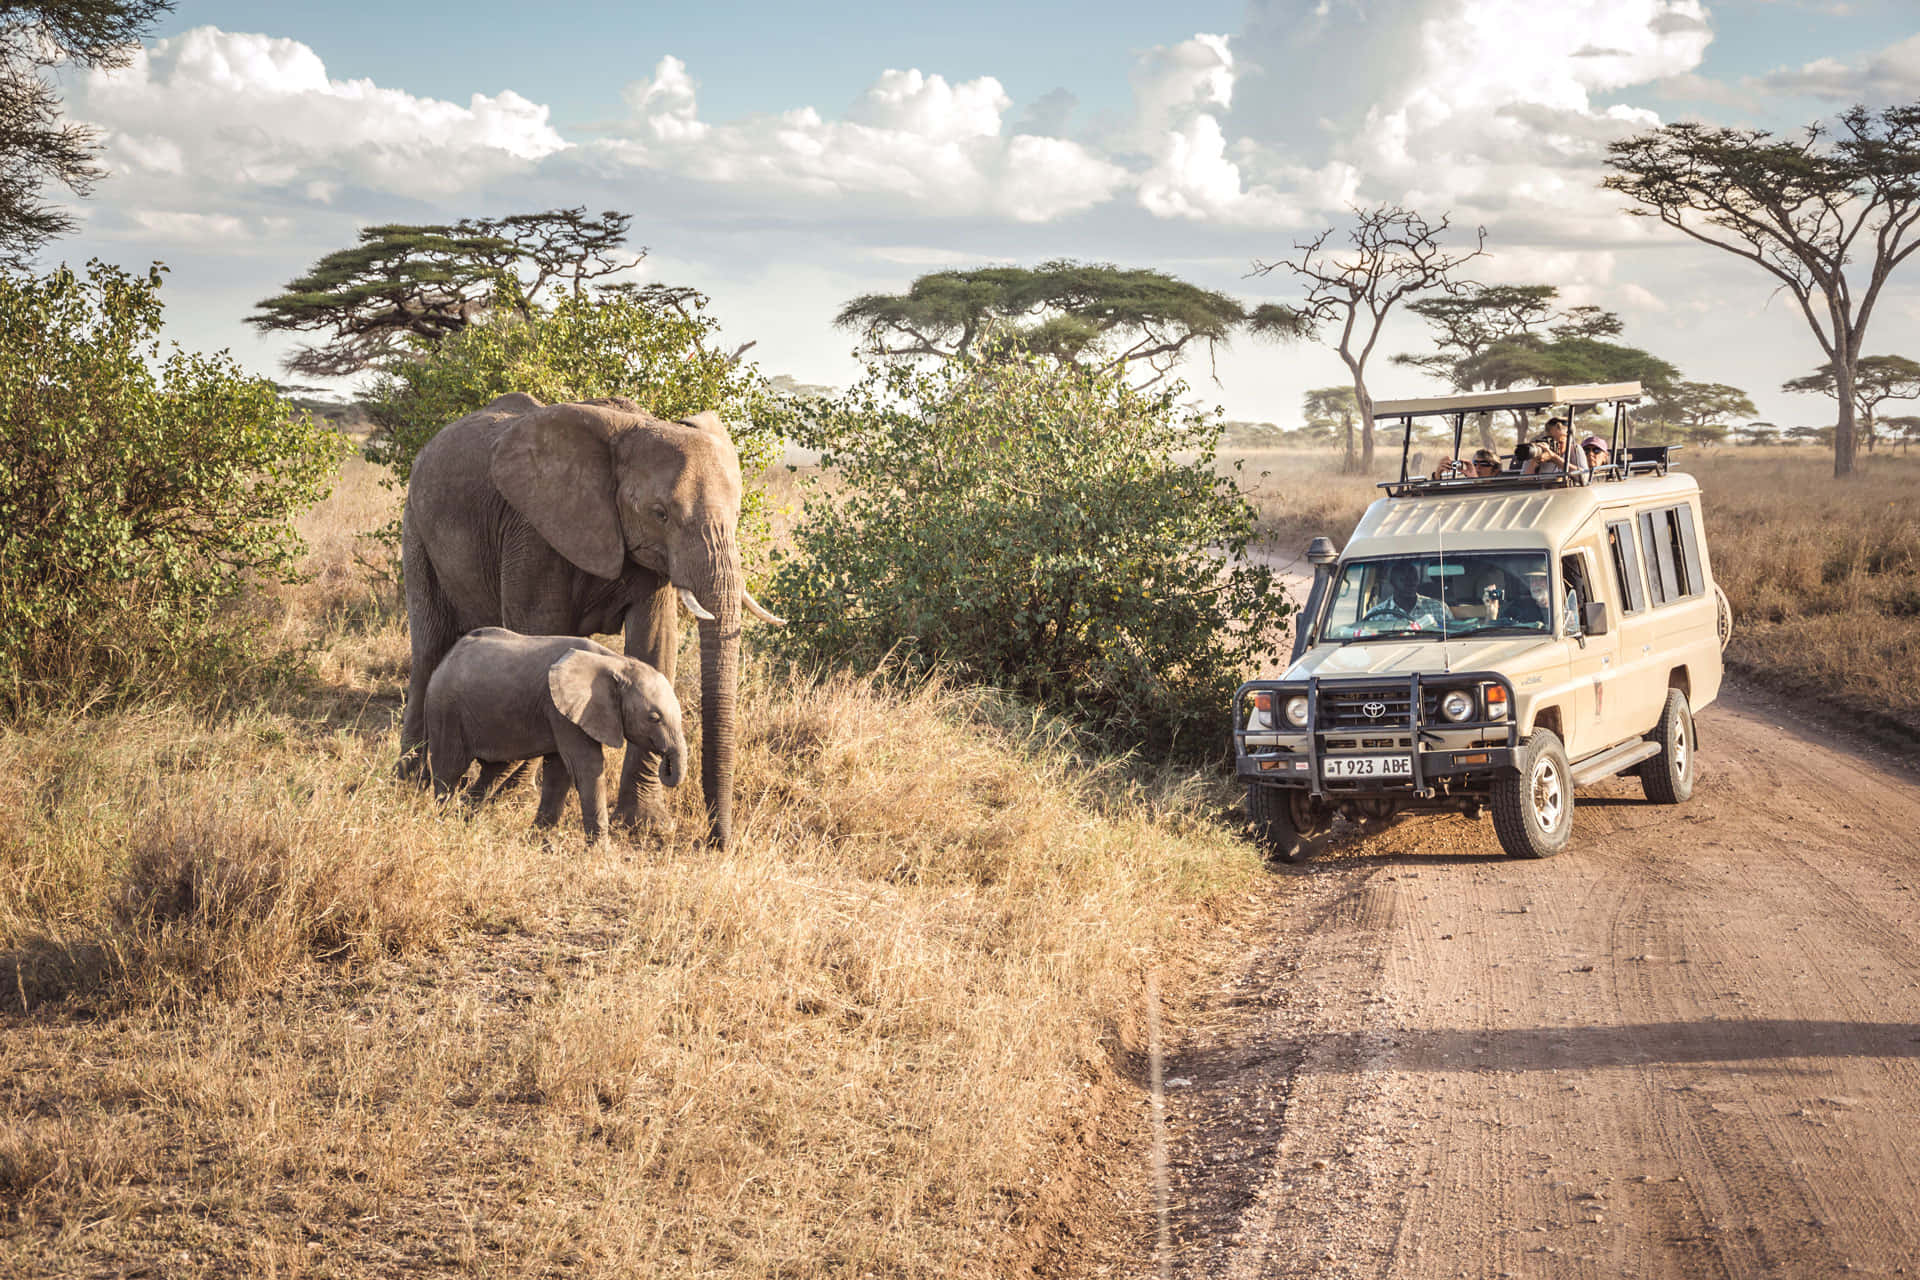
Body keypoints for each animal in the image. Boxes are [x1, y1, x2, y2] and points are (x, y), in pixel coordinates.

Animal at [425, 628, 685, 841]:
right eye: (654, 718)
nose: (665, 764)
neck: (617, 662)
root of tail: (446, 658)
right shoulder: (563, 711)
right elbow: (586, 768)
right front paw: (602, 853)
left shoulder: (564, 713)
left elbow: (560, 773)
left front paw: (537, 843)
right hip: (446, 708)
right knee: (449, 769)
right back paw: (444, 822)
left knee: (497, 770)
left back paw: (463, 820)